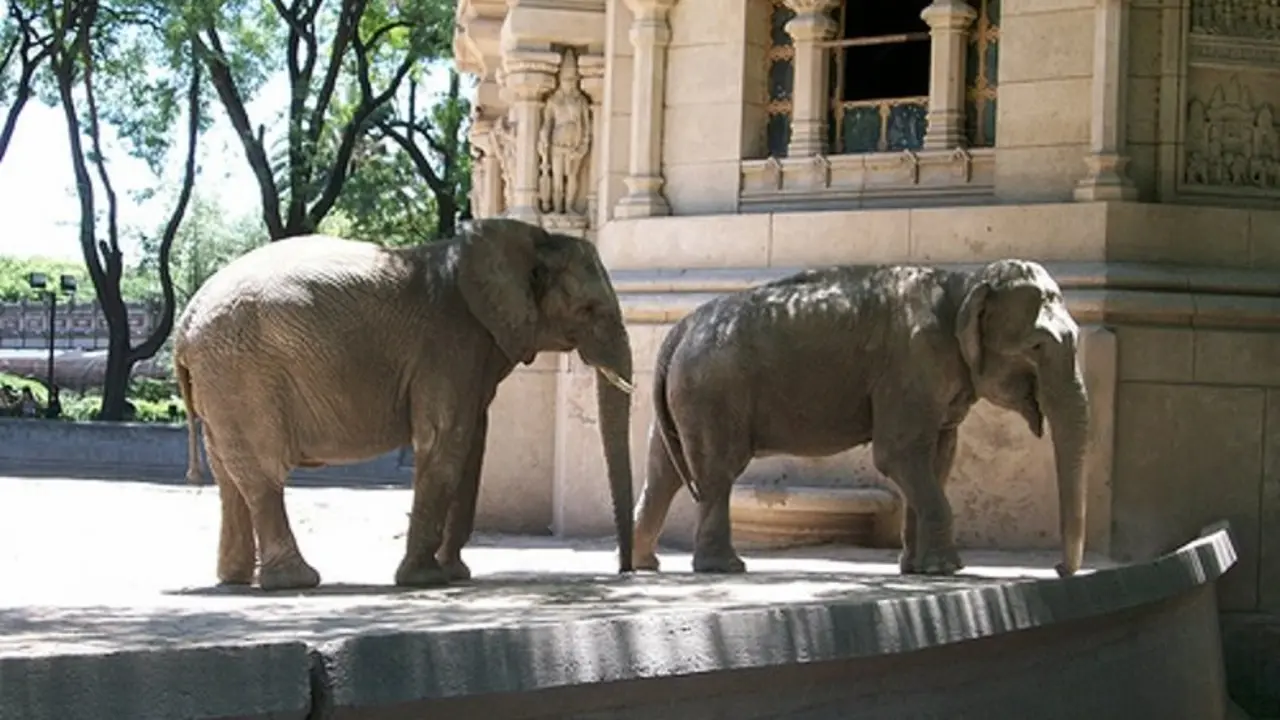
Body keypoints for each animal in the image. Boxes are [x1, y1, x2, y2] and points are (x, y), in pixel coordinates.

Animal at [174, 218, 637, 590]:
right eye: (589, 309)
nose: (625, 571)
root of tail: (186, 321)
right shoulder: (448, 343)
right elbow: (445, 441)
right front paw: (425, 579)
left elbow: (473, 448)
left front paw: (454, 574)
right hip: (242, 371)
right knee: (263, 472)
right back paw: (295, 581)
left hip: (221, 378)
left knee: (230, 476)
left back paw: (235, 579)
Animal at [632, 259, 1089, 578]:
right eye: (1037, 346)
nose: (1058, 570)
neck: (964, 283)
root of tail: (679, 329)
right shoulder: (913, 364)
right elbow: (898, 454)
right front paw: (948, 570)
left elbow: (937, 460)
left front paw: (918, 569)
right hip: (712, 391)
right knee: (717, 471)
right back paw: (724, 567)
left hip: (687, 396)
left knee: (663, 473)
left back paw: (645, 564)